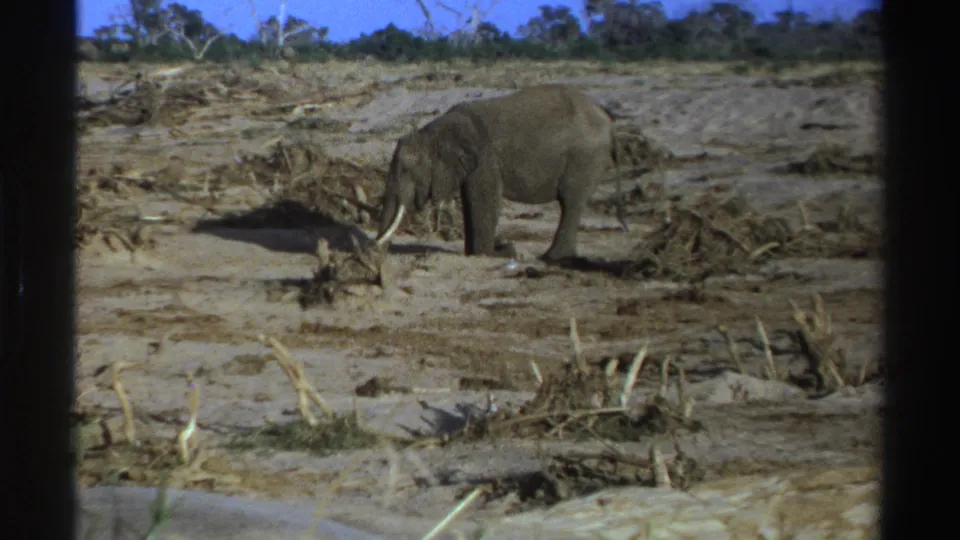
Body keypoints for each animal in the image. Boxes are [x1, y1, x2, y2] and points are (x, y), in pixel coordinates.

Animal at [372, 84, 624, 262]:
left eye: (406, 169)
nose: (381, 253)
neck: (433, 132)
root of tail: (608, 121)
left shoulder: (486, 158)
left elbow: (484, 200)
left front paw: (496, 254)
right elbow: (470, 201)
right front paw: (482, 253)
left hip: (585, 157)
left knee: (571, 202)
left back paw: (551, 258)